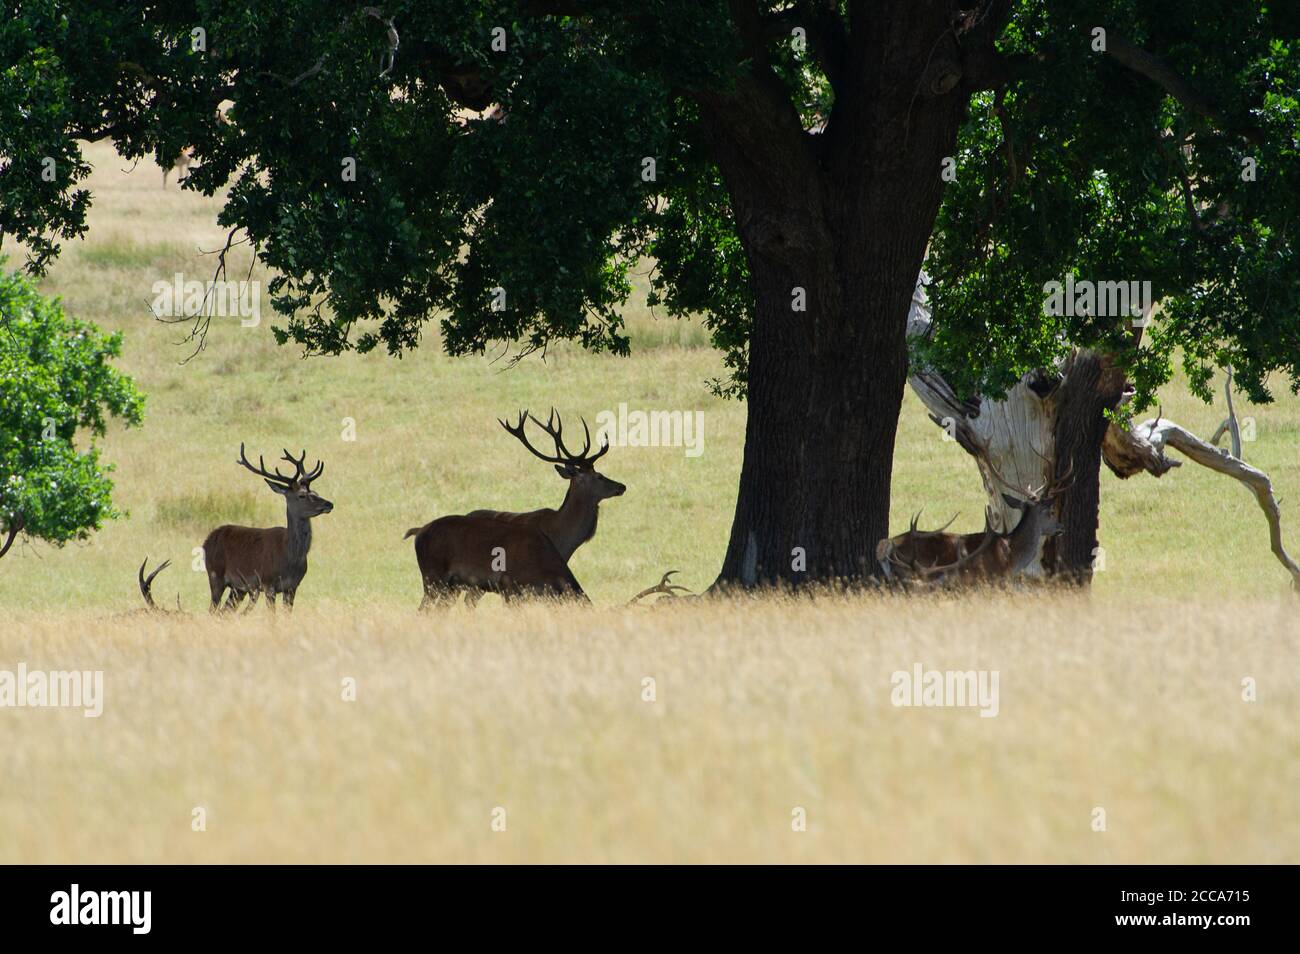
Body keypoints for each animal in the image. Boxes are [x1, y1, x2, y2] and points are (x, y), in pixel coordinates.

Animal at [201, 447, 332, 613]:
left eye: (315, 492)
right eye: (302, 495)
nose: (329, 504)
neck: (290, 559)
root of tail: (208, 539)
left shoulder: (293, 586)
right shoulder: (268, 583)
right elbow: (272, 616)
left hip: (239, 588)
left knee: (224, 611)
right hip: (215, 575)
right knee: (213, 610)